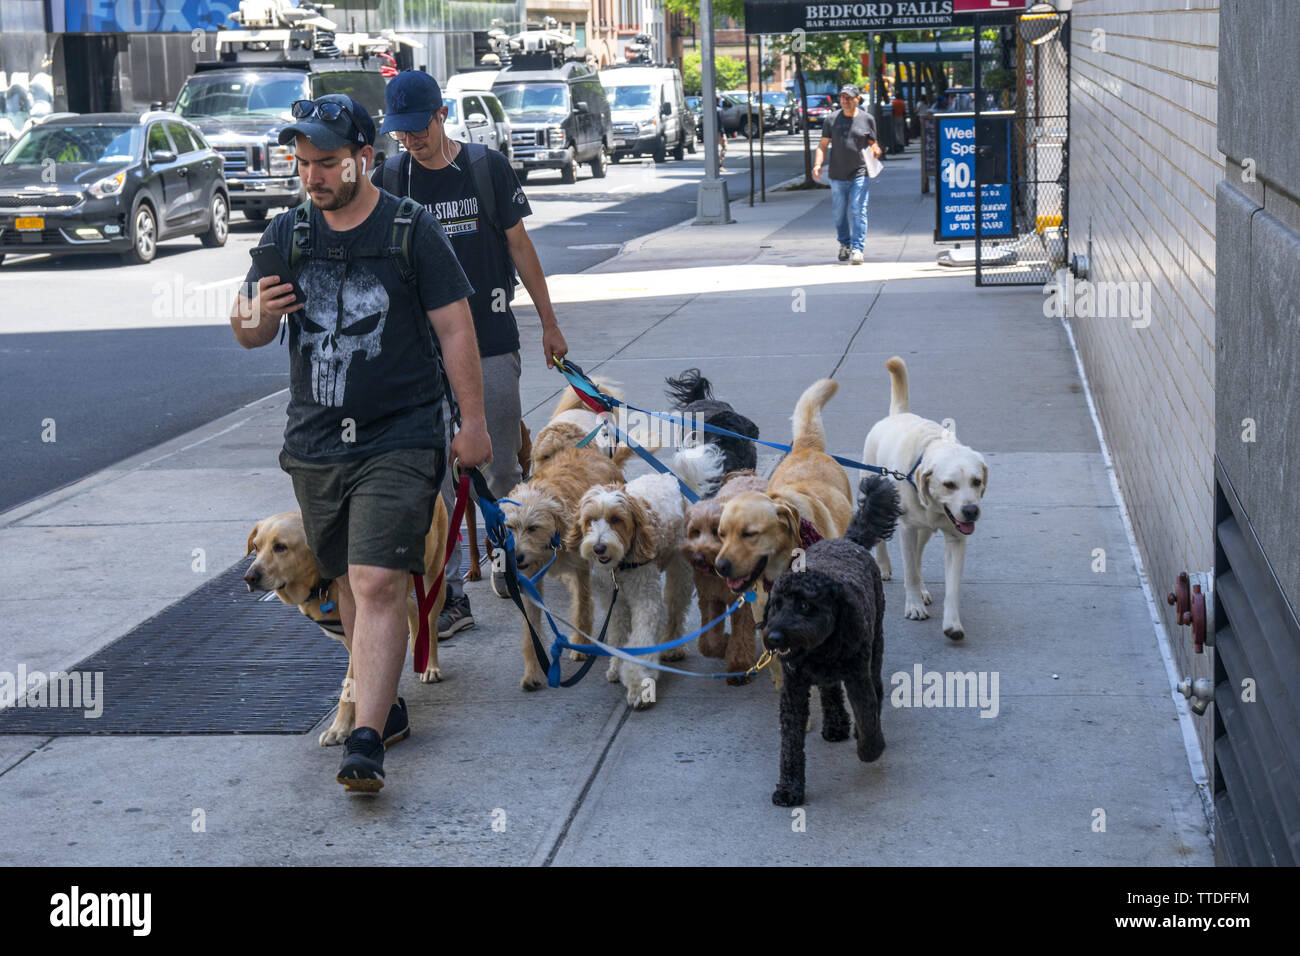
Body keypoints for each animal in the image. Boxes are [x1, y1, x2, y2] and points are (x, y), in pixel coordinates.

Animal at [245, 494, 449, 749]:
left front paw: (340, 728)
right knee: (411, 607)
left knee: (429, 621)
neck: (322, 583)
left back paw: (430, 666)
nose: (249, 577)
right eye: (256, 547)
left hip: (433, 574)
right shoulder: (349, 636)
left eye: (281, 547)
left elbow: (349, 688)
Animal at [572, 444, 728, 707]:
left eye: (616, 520)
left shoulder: (645, 601)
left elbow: (642, 640)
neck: (620, 567)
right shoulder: (615, 604)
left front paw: (639, 686)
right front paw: (617, 666)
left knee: (674, 607)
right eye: (590, 520)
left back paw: (672, 647)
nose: (599, 548)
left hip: (680, 573)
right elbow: (619, 635)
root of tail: (672, 479)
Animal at [676, 468, 764, 681]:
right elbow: (709, 641)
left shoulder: (743, 603)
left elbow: (741, 634)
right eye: (695, 531)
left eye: (717, 532)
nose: (698, 557)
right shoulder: (709, 597)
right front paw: (723, 644)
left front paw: (738, 666)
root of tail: (747, 474)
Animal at [857, 356, 987, 639]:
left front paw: (952, 623)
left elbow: (951, 585)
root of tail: (898, 414)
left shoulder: (956, 538)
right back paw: (883, 565)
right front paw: (914, 605)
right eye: (949, 485)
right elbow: (909, 572)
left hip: (925, 529)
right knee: (884, 540)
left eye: (976, 481)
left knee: (917, 557)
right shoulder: (906, 528)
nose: (971, 511)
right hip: (874, 497)